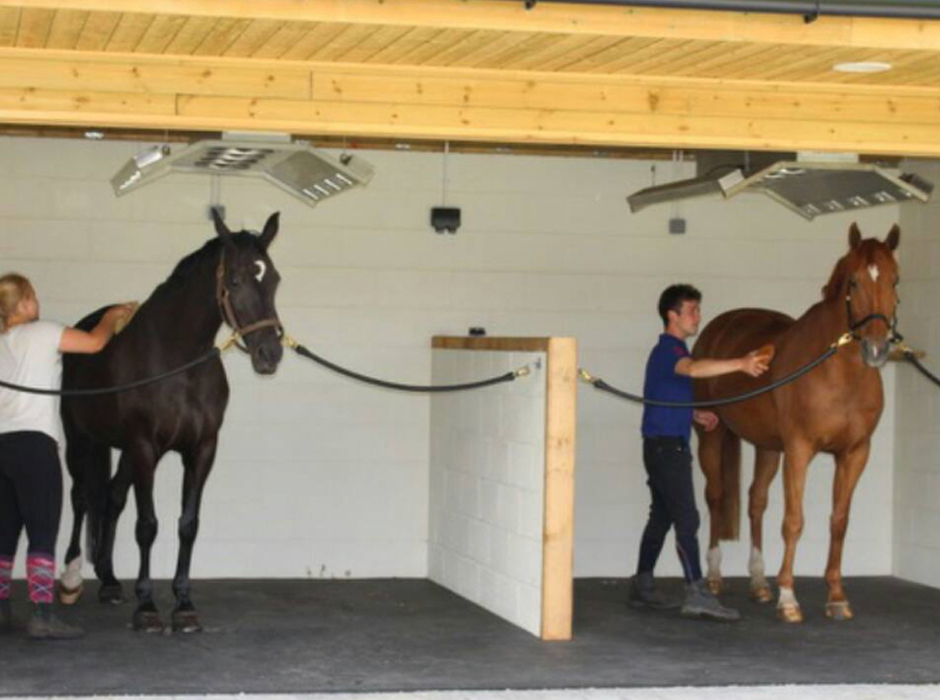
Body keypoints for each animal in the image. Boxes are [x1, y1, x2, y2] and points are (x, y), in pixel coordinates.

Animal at [59, 211, 282, 632]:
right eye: (235, 280)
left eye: (274, 279)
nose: (270, 353)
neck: (178, 361)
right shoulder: (147, 447)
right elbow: (147, 525)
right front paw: (147, 607)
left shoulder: (201, 449)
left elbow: (187, 525)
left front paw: (184, 604)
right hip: (81, 439)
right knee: (80, 498)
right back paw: (69, 577)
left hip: (123, 450)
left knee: (112, 497)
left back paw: (109, 582)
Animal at [692, 224, 900, 624]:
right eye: (853, 281)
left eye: (895, 279)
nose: (877, 348)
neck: (838, 375)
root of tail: (717, 328)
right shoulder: (799, 450)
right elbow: (794, 520)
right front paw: (788, 598)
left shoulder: (855, 453)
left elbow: (839, 521)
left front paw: (836, 596)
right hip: (712, 433)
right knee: (716, 496)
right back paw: (714, 576)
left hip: (767, 447)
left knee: (756, 501)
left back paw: (759, 582)